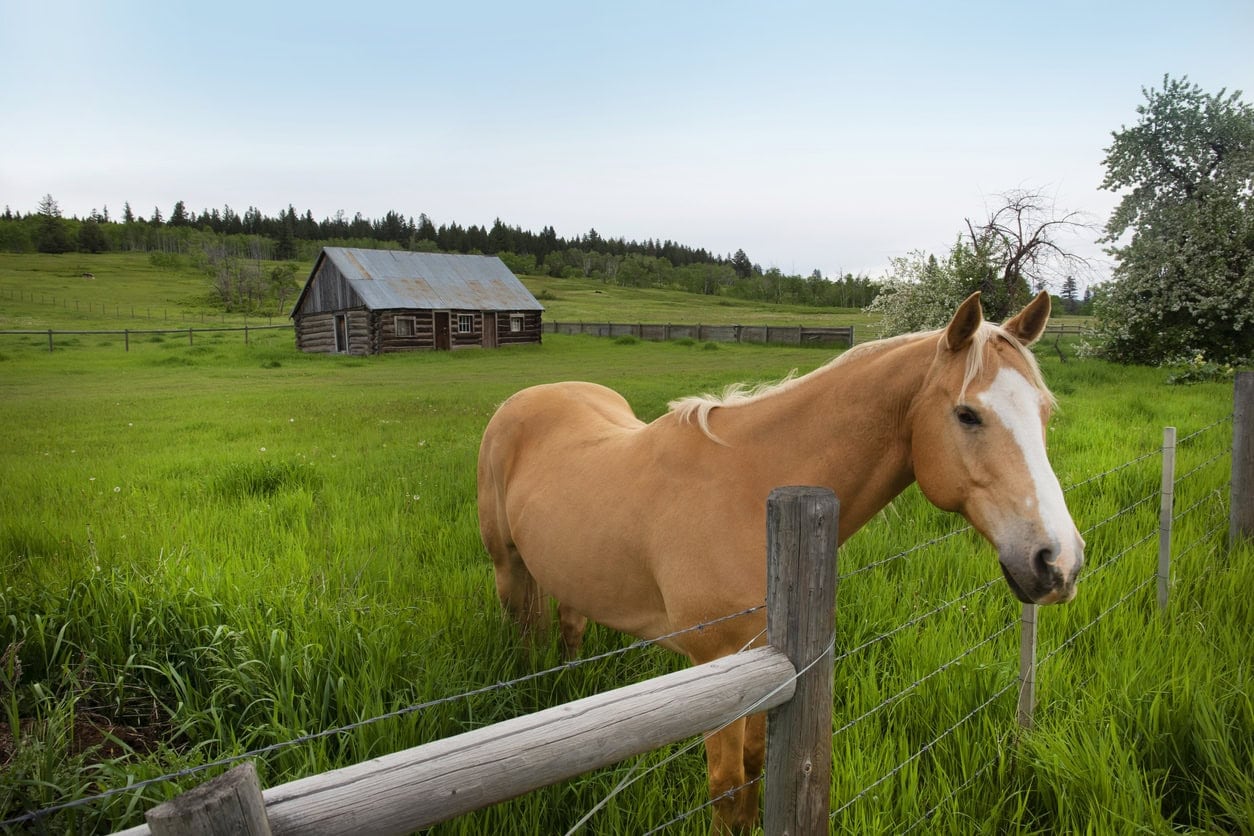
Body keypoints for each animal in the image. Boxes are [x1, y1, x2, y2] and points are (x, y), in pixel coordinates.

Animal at [476, 291, 1083, 834]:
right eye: (967, 414)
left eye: (1045, 412)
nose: (1060, 562)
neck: (750, 493)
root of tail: (525, 398)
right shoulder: (716, 667)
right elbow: (726, 787)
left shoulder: (766, 668)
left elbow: (752, 771)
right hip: (508, 569)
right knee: (522, 632)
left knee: (569, 626)